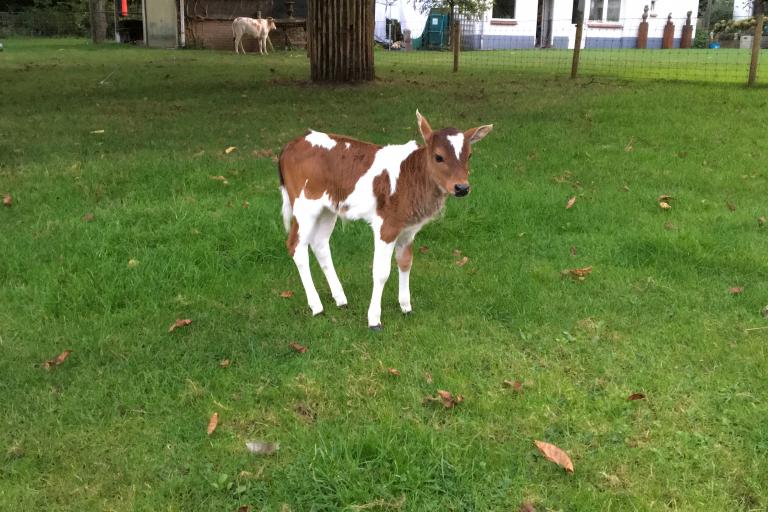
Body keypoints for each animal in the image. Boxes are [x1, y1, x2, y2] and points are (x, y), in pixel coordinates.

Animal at [276, 110, 492, 330]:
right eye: (438, 156)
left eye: (469, 155)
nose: (462, 187)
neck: (411, 176)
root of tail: (291, 144)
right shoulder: (386, 226)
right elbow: (381, 272)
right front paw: (374, 319)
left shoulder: (408, 229)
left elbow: (405, 263)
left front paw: (406, 307)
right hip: (304, 205)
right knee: (296, 245)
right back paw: (316, 306)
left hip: (328, 208)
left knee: (319, 243)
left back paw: (340, 299)